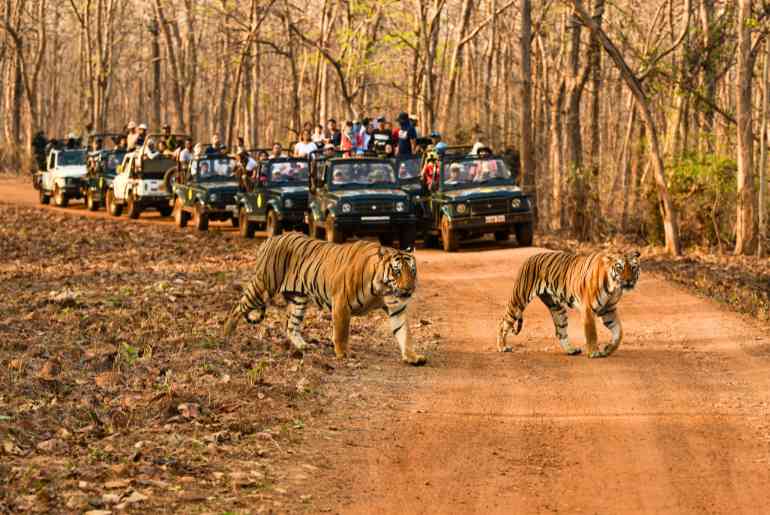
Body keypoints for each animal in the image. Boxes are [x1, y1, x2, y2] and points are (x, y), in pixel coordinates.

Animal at [222, 232, 426, 368]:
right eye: (397, 271)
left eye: (412, 271)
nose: (409, 289)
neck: (382, 289)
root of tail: (270, 239)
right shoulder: (341, 303)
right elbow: (341, 333)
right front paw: (343, 354)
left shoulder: (397, 308)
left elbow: (404, 333)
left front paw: (412, 356)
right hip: (264, 285)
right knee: (238, 307)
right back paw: (226, 335)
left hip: (298, 299)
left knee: (290, 324)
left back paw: (303, 346)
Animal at [496, 250, 640, 358]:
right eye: (620, 267)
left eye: (633, 267)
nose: (629, 281)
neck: (614, 288)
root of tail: (529, 258)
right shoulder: (588, 309)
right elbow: (592, 332)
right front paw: (594, 352)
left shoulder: (609, 310)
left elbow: (619, 332)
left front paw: (608, 349)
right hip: (519, 300)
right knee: (503, 323)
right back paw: (502, 347)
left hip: (557, 308)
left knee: (560, 332)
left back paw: (571, 350)